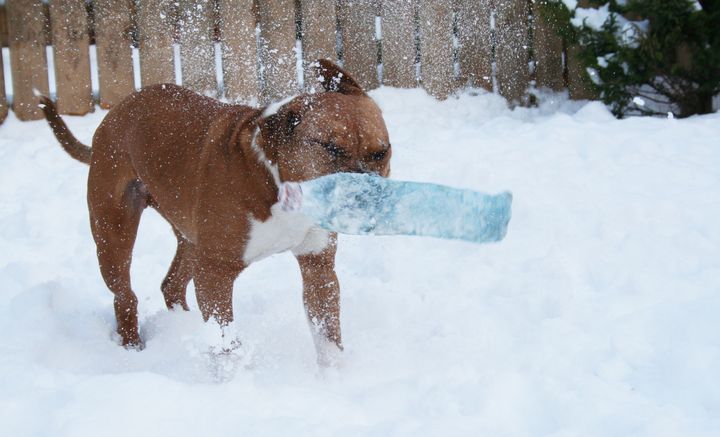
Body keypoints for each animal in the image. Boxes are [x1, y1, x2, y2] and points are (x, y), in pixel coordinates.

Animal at [42, 60, 390, 362]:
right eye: (331, 148)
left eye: (381, 152)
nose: (367, 192)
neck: (276, 182)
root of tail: (117, 111)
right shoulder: (216, 273)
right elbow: (225, 340)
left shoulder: (317, 266)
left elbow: (328, 334)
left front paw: (333, 376)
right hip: (114, 233)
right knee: (125, 295)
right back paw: (132, 345)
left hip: (190, 240)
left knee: (172, 284)